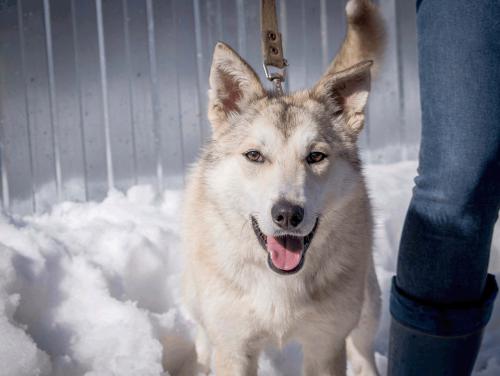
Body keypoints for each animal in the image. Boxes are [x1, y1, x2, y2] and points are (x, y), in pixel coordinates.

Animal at [182, 1, 384, 374]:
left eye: (315, 156)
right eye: (254, 155)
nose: (288, 215)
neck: (280, 283)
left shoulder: (325, 344)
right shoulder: (234, 345)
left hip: (369, 302)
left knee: (363, 349)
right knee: (203, 332)